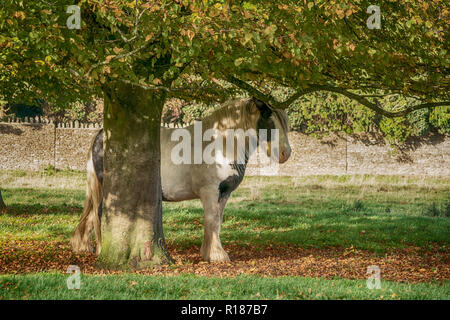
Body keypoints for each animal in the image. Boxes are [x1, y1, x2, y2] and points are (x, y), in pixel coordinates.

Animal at [68, 98, 290, 262]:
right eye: (269, 122)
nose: (285, 153)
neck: (220, 145)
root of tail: (101, 136)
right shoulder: (210, 191)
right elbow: (211, 220)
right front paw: (217, 255)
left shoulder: (224, 193)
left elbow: (217, 222)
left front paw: (208, 252)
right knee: (99, 214)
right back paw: (100, 249)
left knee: (91, 216)